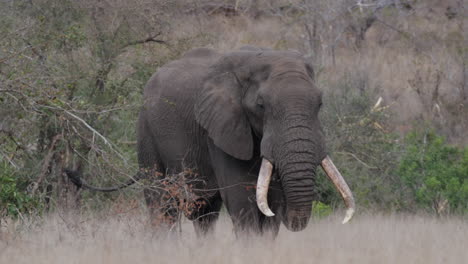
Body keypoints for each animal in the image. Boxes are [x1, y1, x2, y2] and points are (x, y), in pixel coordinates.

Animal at [65, 46, 352, 236]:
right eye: (261, 105)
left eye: (320, 103)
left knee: (205, 213)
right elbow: (242, 200)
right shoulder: (220, 128)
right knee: (162, 203)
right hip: (146, 130)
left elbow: (272, 200)